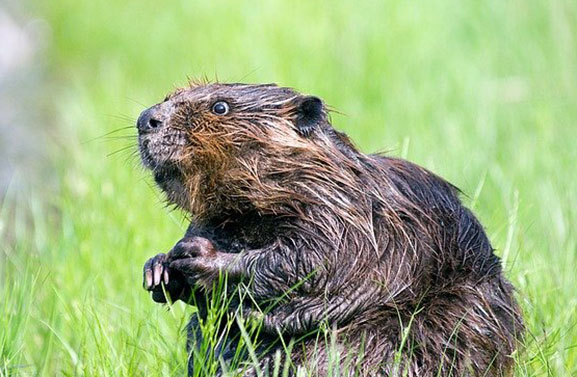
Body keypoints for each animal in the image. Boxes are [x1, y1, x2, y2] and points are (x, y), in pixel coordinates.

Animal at [138, 83, 520, 376]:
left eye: (220, 106)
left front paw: (197, 256)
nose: (146, 119)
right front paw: (158, 268)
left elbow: (311, 261)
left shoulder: (349, 216)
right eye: (170, 94)